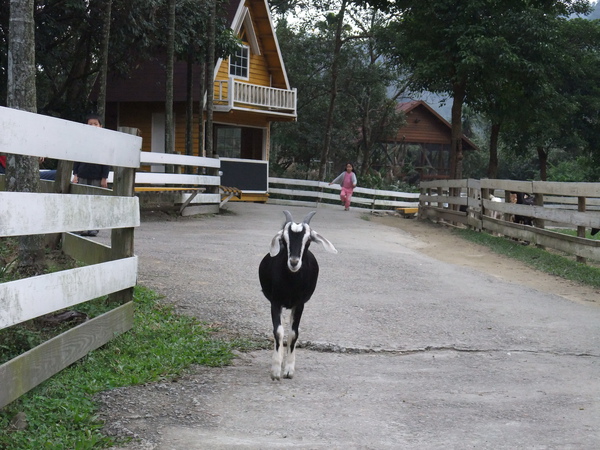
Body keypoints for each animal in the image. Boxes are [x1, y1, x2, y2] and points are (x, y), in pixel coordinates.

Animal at [258, 211, 338, 380]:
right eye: (283, 239)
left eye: (308, 240)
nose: (294, 262)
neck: (291, 282)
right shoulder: (275, 302)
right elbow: (278, 332)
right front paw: (276, 370)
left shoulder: (299, 304)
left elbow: (293, 334)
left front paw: (288, 369)